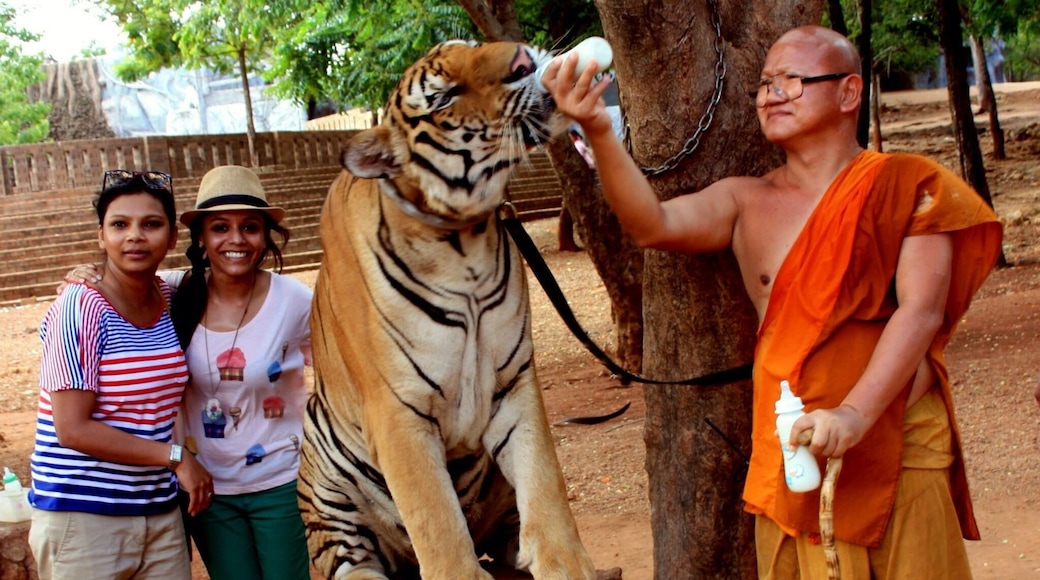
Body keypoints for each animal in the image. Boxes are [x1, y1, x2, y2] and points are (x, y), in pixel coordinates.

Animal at [298, 40, 597, 580]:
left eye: (472, 46)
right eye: (444, 97)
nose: (523, 60)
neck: (463, 244)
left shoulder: (512, 382)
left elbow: (545, 478)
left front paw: (567, 564)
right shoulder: (398, 412)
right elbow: (436, 520)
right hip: (326, 481)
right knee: (354, 564)